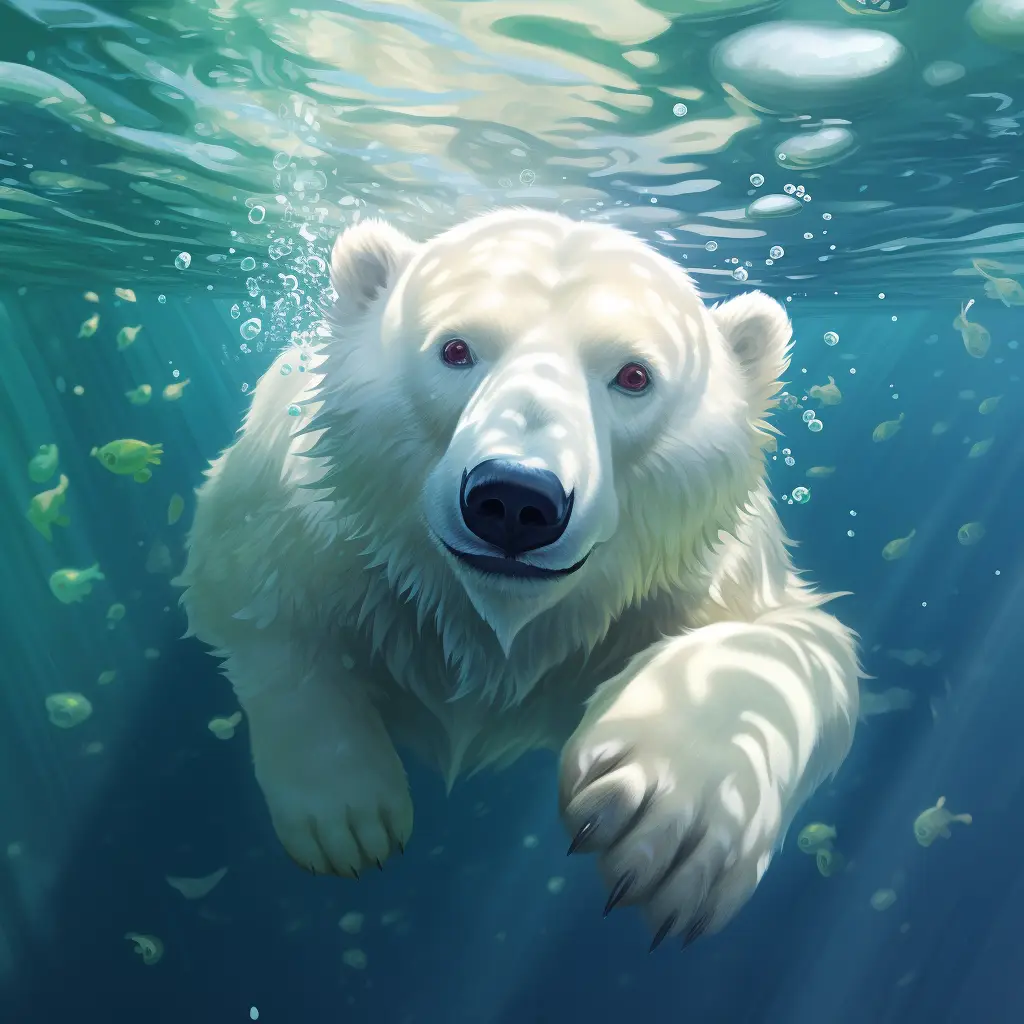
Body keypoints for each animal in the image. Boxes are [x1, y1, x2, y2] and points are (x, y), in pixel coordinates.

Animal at [176, 208, 859, 949]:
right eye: (455, 349)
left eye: (634, 375)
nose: (514, 499)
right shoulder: (311, 519)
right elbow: (251, 601)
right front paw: (347, 815)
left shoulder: (694, 574)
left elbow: (796, 637)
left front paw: (671, 808)